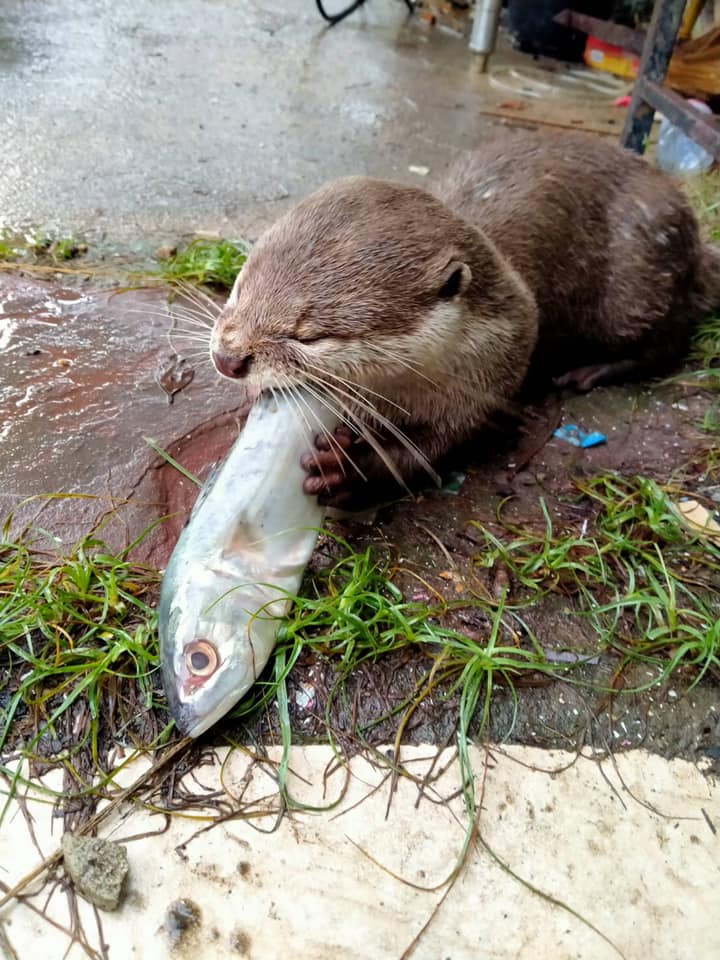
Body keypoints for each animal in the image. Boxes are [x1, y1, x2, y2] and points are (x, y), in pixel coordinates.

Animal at [210, 131, 720, 506]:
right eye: (240, 286)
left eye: (309, 335)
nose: (227, 359)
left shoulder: (492, 374)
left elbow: (435, 449)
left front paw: (348, 470)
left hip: (634, 284)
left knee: (669, 340)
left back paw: (591, 370)